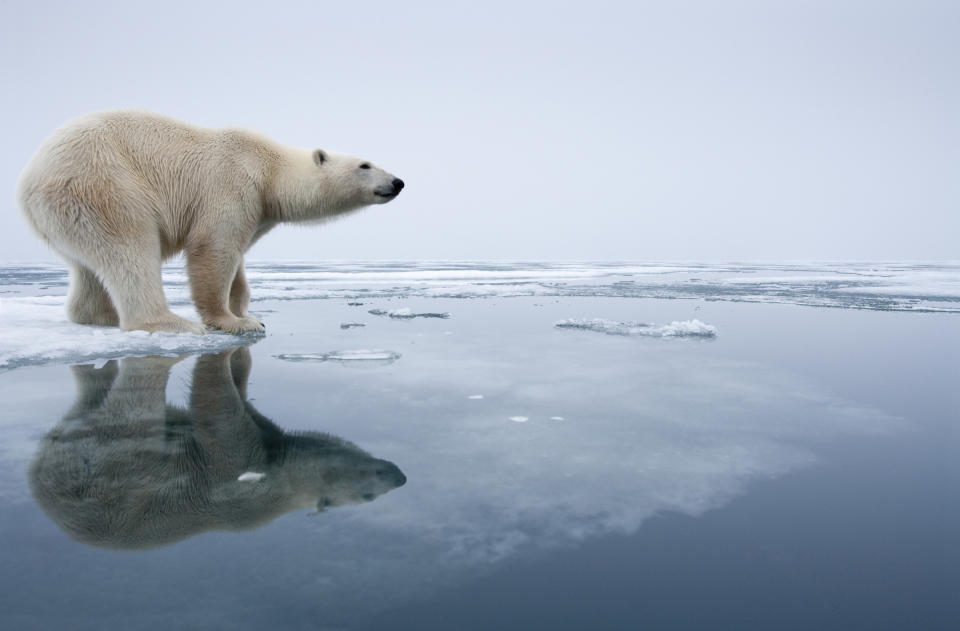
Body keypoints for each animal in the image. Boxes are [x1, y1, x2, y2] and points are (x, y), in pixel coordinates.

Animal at [18, 111, 402, 336]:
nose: (398, 182)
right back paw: (171, 323)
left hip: (69, 213)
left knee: (88, 266)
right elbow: (213, 249)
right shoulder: (232, 183)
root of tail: (28, 182)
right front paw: (234, 322)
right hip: (103, 185)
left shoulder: (257, 210)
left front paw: (248, 311)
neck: (269, 169)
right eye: (365, 165)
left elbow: (239, 261)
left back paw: (101, 316)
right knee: (130, 248)